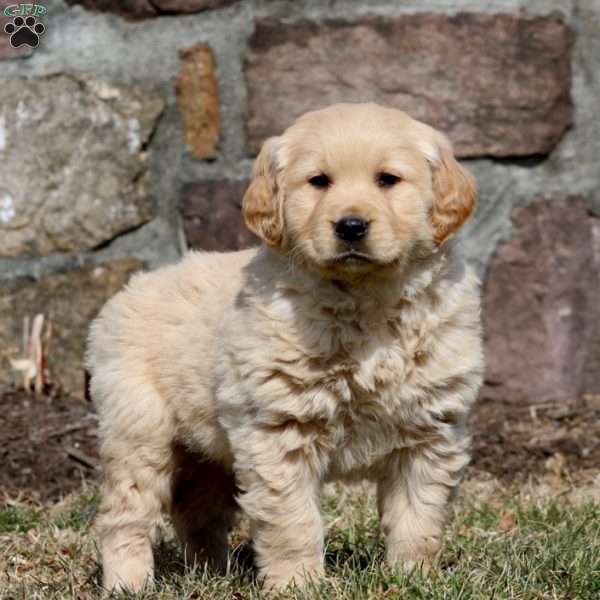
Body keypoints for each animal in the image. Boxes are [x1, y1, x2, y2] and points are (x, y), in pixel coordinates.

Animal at [86, 103, 482, 592]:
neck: (362, 302)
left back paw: (213, 573)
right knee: (126, 514)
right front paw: (298, 584)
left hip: (208, 448)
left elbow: (418, 517)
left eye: (388, 179)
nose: (351, 226)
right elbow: (292, 522)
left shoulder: (429, 433)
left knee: (197, 511)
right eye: (319, 181)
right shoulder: (280, 434)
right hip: (139, 430)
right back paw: (128, 582)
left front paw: (413, 578)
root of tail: (126, 290)